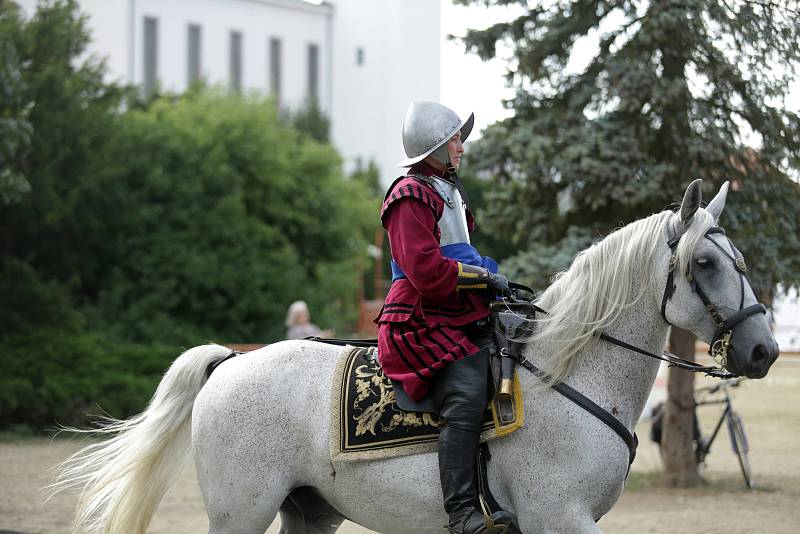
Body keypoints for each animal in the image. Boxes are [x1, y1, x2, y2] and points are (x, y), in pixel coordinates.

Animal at [53, 181, 780, 534]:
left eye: (740, 259)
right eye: (706, 263)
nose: (765, 348)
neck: (570, 377)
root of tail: (231, 362)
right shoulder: (559, 519)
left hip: (308, 514)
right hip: (241, 513)